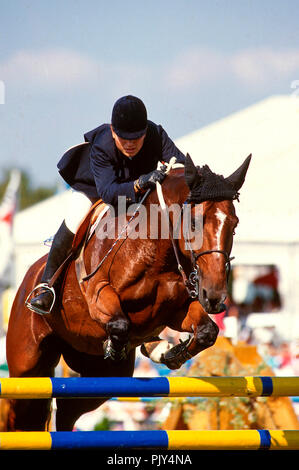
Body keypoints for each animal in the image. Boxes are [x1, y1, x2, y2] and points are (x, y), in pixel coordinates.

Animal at [5, 153, 252, 430]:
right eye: (194, 222)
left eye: (234, 225)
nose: (215, 297)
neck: (155, 252)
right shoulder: (98, 295)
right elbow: (120, 324)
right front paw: (130, 346)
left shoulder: (175, 311)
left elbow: (208, 331)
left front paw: (170, 353)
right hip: (26, 366)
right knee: (19, 411)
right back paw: (43, 297)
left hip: (101, 375)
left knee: (67, 411)